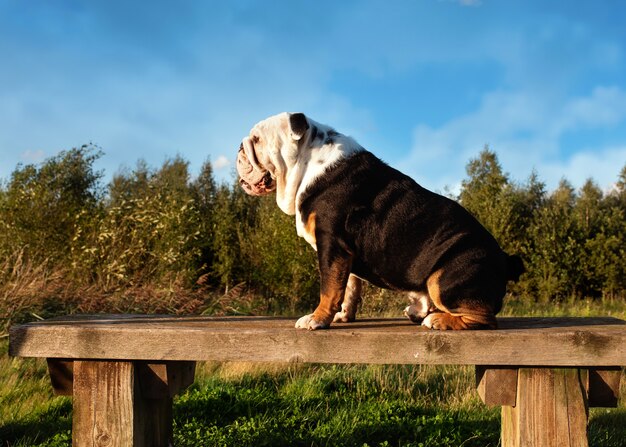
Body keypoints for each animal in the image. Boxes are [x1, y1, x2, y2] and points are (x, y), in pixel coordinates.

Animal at [236, 113, 520, 328]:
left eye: (257, 140)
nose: (239, 146)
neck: (308, 163)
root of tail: (506, 261)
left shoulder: (331, 243)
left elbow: (328, 287)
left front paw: (316, 319)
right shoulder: (344, 253)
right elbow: (348, 287)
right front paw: (342, 316)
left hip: (444, 278)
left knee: (483, 317)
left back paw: (440, 321)